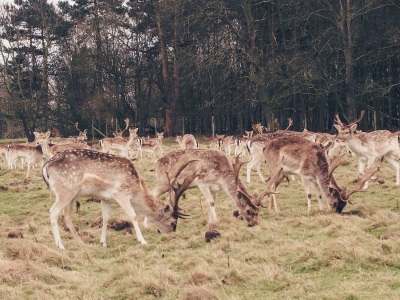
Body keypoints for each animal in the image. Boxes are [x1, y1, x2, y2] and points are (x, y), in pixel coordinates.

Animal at [41, 149, 198, 250]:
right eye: (172, 223)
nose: (170, 235)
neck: (136, 187)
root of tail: (46, 166)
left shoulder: (105, 199)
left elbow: (106, 219)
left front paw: (103, 243)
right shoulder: (121, 194)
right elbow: (133, 215)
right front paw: (142, 240)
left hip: (72, 195)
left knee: (67, 216)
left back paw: (81, 243)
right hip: (65, 191)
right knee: (53, 212)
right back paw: (60, 245)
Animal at [144, 149, 276, 229]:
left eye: (258, 211)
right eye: (248, 211)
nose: (253, 224)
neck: (220, 177)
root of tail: (156, 162)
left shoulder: (213, 188)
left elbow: (212, 202)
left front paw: (210, 221)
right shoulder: (201, 182)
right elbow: (211, 202)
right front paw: (216, 221)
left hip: (168, 185)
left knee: (165, 195)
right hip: (163, 182)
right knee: (152, 194)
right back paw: (146, 224)